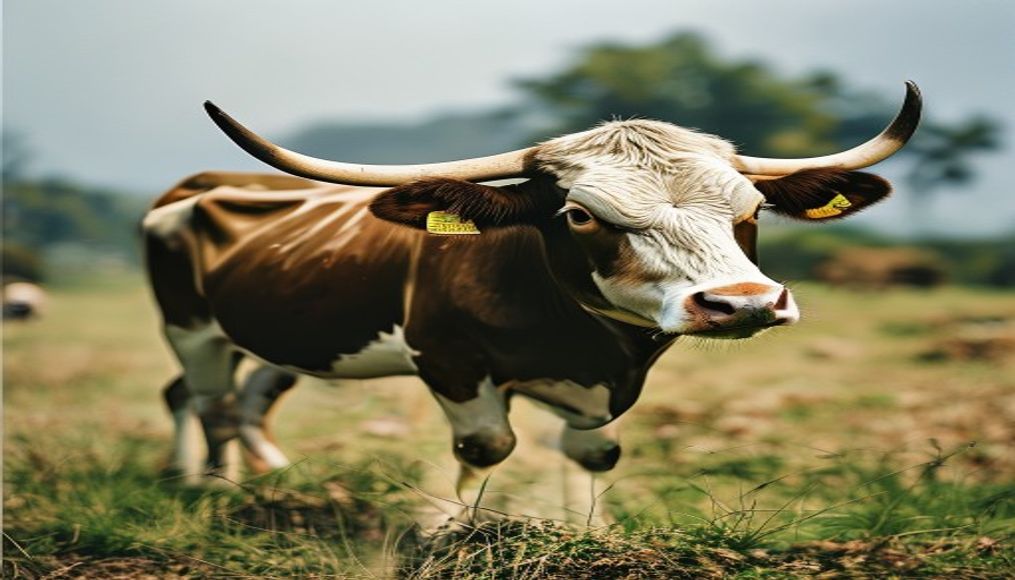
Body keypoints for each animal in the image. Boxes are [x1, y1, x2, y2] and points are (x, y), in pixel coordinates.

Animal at [143, 83, 920, 500]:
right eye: (579, 214)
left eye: (753, 208)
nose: (744, 303)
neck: (580, 339)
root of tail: (197, 183)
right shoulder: (450, 363)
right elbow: (487, 448)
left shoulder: (605, 389)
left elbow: (594, 457)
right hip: (190, 330)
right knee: (209, 403)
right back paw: (212, 491)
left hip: (283, 335)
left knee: (234, 398)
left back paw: (266, 479)